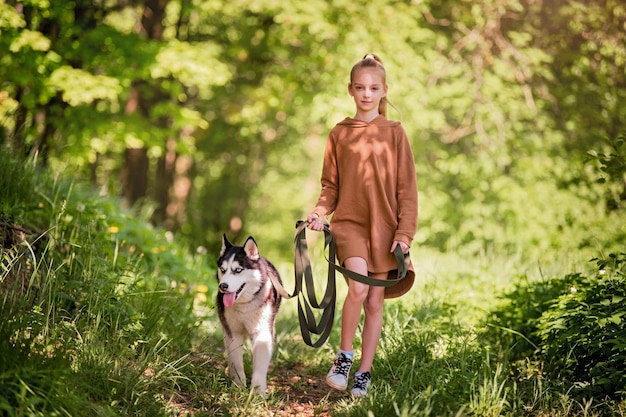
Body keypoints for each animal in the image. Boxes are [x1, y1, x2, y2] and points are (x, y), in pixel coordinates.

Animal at [216, 234, 282, 394]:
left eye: (238, 270)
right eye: (223, 269)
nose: (223, 286)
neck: (244, 305)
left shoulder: (262, 332)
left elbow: (260, 366)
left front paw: (257, 392)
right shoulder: (232, 332)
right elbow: (236, 362)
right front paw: (238, 386)